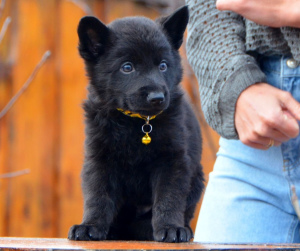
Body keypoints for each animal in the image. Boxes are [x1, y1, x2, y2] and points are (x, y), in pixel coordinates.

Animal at [68, 5, 204, 242]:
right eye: (127, 67)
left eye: (163, 66)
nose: (157, 98)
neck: (136, 123)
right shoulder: (99, 158)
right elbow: (98, 195)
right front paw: (90, 225)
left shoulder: (172, 160)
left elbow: (168, 198)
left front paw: (170, 227)